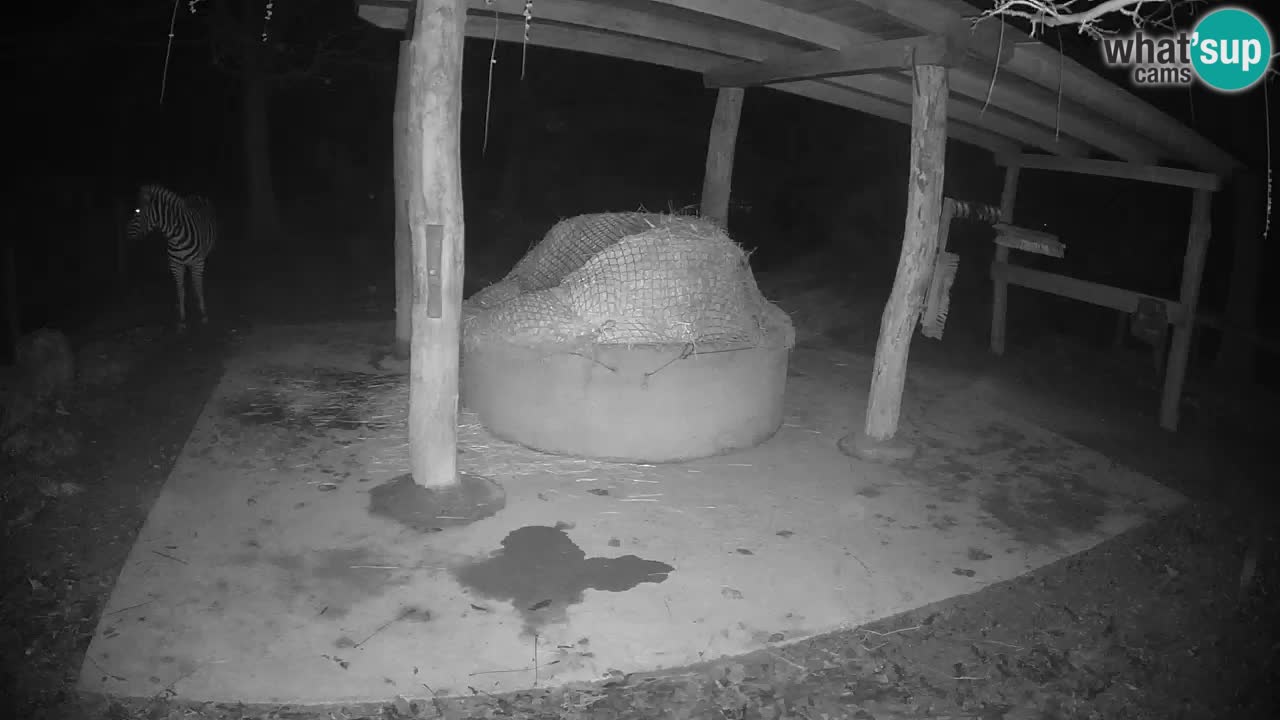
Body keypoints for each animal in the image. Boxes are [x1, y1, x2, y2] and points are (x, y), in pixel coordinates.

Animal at [126, 185, 217, 331]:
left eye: (137, 211)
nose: (126, 232)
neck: (176, 238)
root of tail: (196, 195)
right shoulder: (176, 266)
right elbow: (180, 291)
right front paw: (182, 318)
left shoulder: (197, 263)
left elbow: (198, 287)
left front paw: (203, 314)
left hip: (205, 254)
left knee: (197, 281)